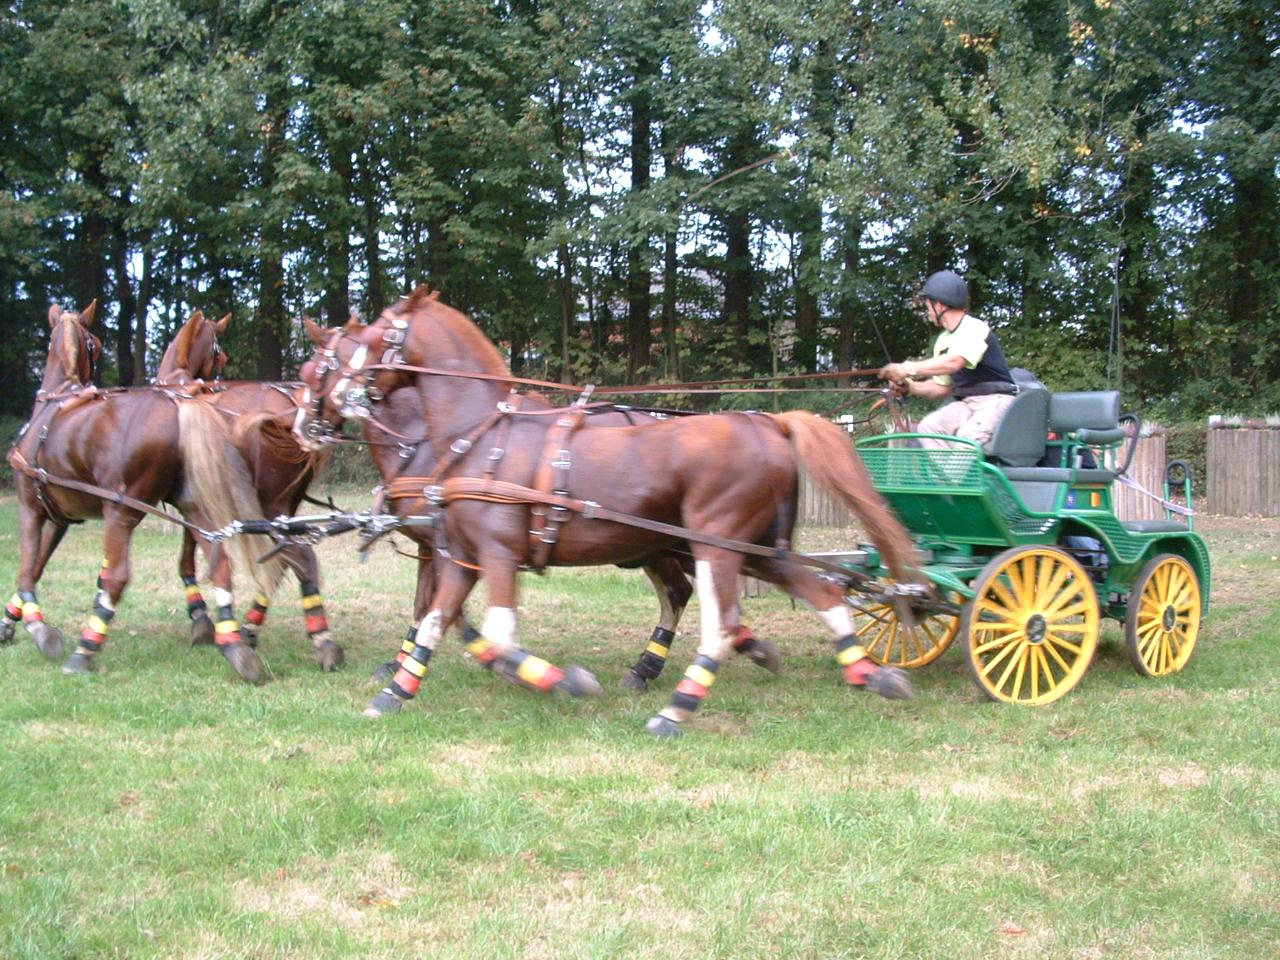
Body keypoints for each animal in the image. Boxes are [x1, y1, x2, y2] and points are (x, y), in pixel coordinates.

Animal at [4, 304, 280, 680]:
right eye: (96, 345)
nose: (216, 382)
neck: (56, 398)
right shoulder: (61, 517)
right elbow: (37, 566)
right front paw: (10, 621)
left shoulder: (31, 509)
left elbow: (27, 571)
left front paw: (38, 628)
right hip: (191, 505)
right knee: (221, 562)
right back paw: (235, 645)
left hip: (121, 511)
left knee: (120, 578)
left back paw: (86, 649)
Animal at [154, 312, 343, 670]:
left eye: (220, 356)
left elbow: (187, 560)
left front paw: (200, 619)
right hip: (282, 508)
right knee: (285, 561)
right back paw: (255, 627)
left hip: (266, 508)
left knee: (300, 559)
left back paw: (320, 639)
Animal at [299, 317, 778, 691]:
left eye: (314, 371)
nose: (303, 428)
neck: (433, 438)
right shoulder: (442, 544)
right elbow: (435, 605)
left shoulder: (444, 542)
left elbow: (432, 605)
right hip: (651, 543)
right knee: (685, 588)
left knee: (684, 588)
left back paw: (661, 663)